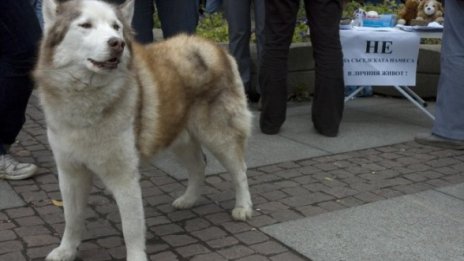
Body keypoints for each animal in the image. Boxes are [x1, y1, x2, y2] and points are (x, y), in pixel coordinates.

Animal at [35, 0, 254, 258]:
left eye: (116, 27)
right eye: (85, 25)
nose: (117, 43)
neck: (87, 99)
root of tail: (212, 45)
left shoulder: (124, 176)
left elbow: (131, 228)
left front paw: (135, 257)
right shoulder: (70, 172)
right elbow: (72, 218)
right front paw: (66, 250)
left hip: (219, 137)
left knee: (240, 170)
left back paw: (243, 207)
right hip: (179, 137)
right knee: (199, 167)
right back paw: (189, 199)